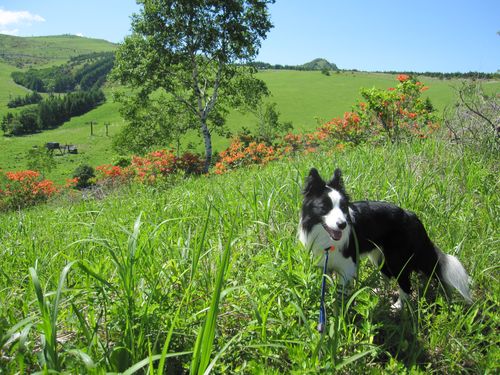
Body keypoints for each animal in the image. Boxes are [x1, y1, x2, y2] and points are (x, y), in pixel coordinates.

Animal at [300, 169, 472, 310]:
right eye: (325, 207)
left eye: (343, 207)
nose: (342, 225)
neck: (327, 237)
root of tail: (411, 216)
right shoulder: (326, 265)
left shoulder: (347, 267)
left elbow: (341, 293)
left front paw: (342, 312)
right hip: (379, 256)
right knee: (387, 276)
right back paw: (378, 293)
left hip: (396, 259)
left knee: (405, 284)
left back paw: (398, 306)